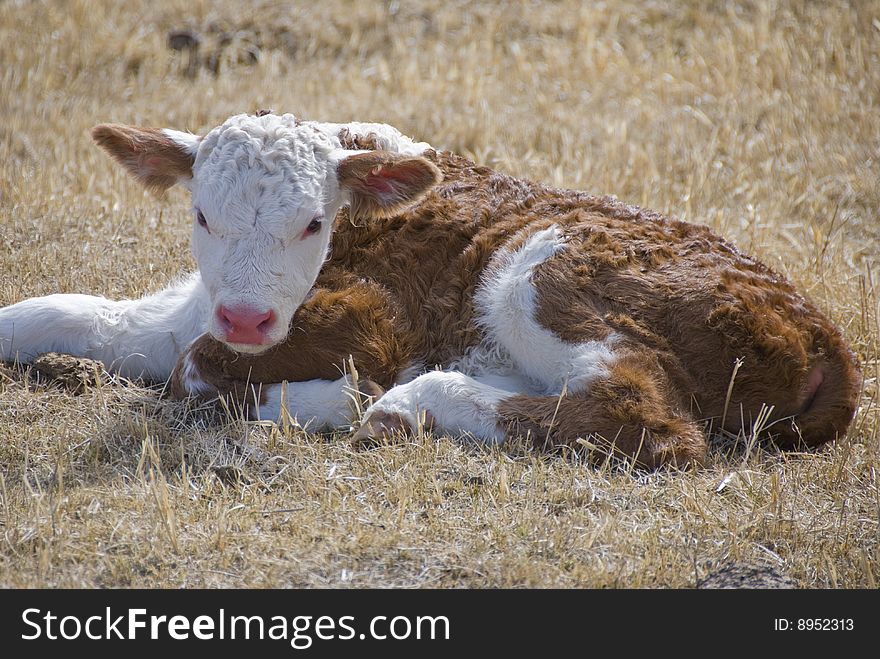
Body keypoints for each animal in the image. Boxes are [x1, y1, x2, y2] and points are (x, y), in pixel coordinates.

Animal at [0, 113, 860, 470]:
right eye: (202, 213)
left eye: (313, 222)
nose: (246, 315)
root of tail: (829, 344)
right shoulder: (187, 307)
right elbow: (70, 313)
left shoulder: (378, 319)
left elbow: (199, 368)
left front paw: (325, 400)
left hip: (540, 267)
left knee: (647, 418)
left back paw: (413, 403)